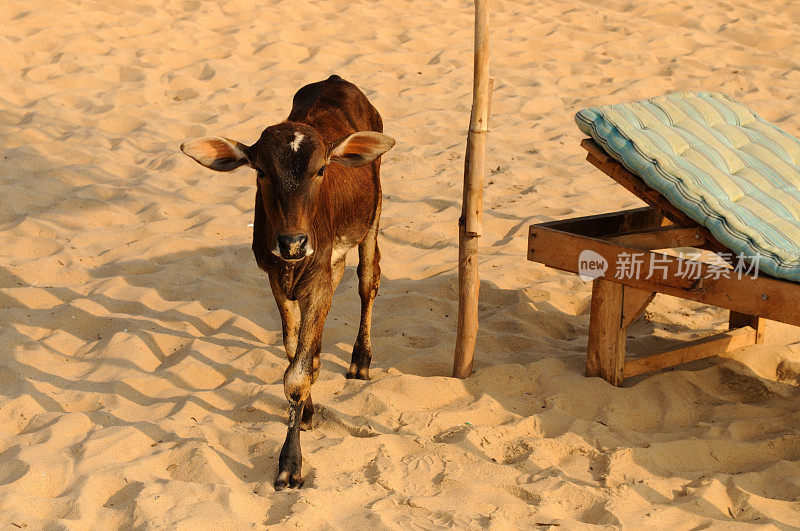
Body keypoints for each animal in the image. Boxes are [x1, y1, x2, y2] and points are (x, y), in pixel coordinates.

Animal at [180, 76, 394, 490]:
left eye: (321, 170)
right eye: (261, 172)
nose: (292, 242)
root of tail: (336, 79)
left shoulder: (317, 279)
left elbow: (295, 376)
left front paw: (290, 463)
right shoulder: (277, 281)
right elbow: (294, 350)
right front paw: (308, 406)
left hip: (373, 215)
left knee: (368, 280)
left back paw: (360, 360)